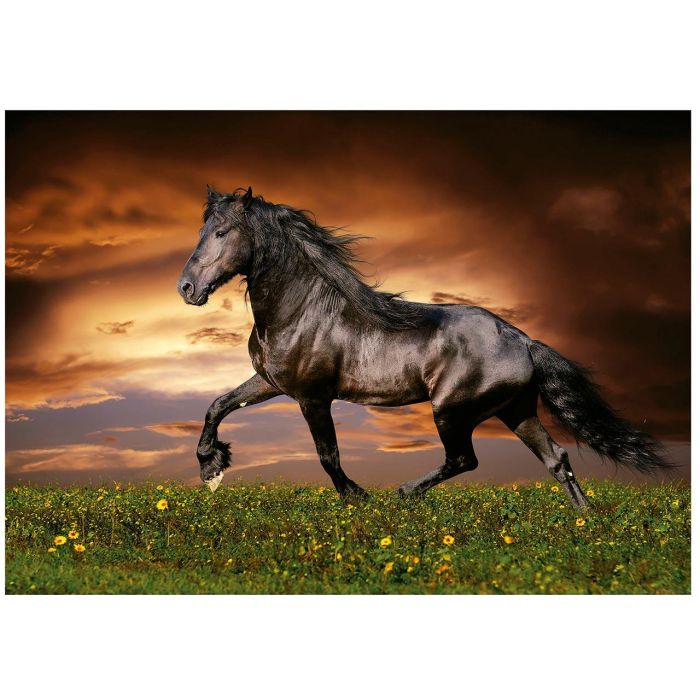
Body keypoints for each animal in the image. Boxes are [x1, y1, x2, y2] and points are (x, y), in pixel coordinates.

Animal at [178, 186, 672, 509]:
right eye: (202, 230)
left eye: (222, 232)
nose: (186, 288)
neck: (301, 310)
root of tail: (522, 340)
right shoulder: (271, 382)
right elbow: (217, 405)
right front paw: (211, 468)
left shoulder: (312, 396)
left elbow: (327, 455)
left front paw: (358, 498)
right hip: (516, 410)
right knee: (557, 458)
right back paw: (585, 521)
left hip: (452, 410)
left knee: (464, 459)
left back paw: (402, 494)